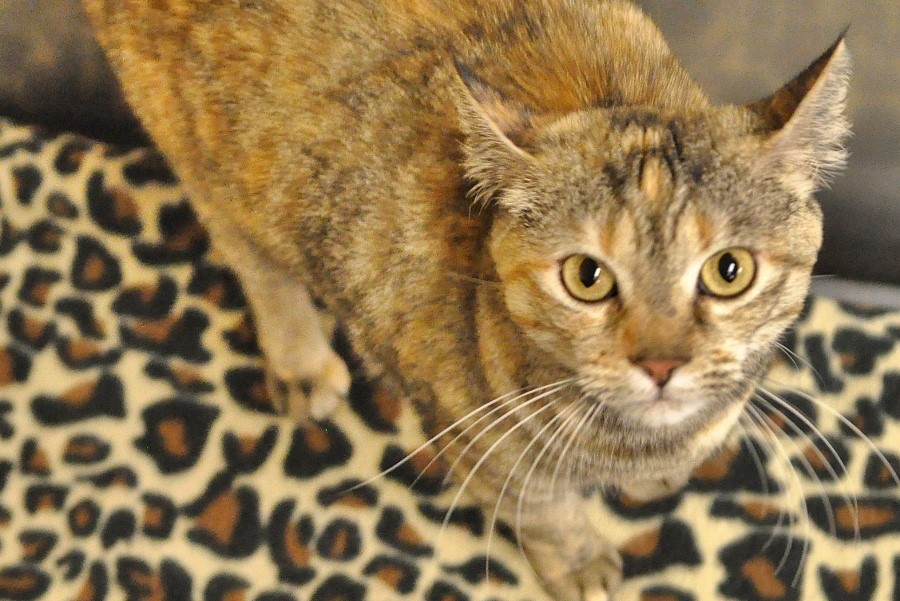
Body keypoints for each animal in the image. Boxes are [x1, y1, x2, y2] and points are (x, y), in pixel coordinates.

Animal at [80, 1, 850, 598]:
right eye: (587, 277)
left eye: (729, 270)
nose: (661, 363)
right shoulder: (471, 434)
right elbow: (543, 510)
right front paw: (578, 560)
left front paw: (673, 468)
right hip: (202, 156)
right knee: (250, 254)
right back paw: (299, 358)